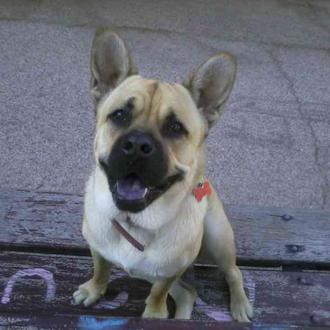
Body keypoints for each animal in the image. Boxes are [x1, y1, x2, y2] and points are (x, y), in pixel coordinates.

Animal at [72, 29, 253, 322]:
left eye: (175, 127)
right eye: (119, 115)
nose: (137, 145)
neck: (135, 221)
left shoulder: (170, 271)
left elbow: (159, 292)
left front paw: (155, 313)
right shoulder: (97, 247)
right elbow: (101, 270)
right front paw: (94, 290)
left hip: (218, 239)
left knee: (233, 273)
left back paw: (239, 303)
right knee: (189, 293)